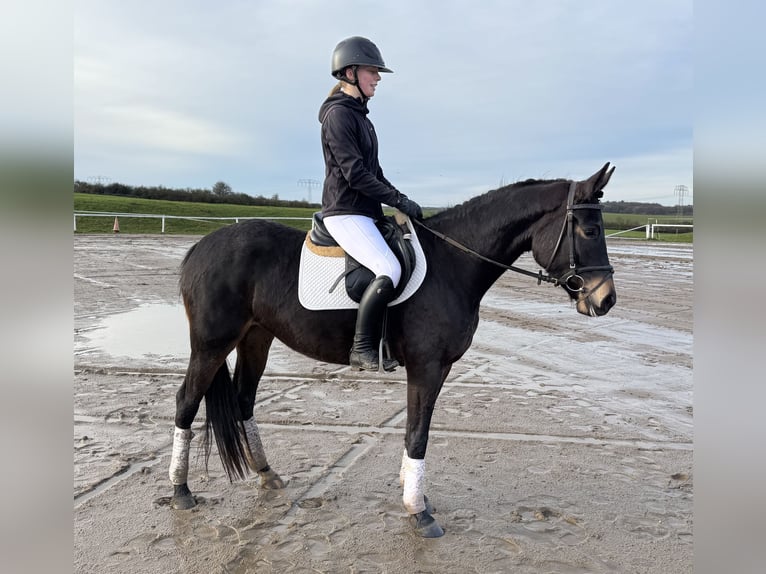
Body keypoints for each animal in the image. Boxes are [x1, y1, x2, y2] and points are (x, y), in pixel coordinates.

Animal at [166, 162, 616, 540]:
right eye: (590, 231)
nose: (606, 299)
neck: (452, 264)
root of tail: (200, 248)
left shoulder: (437, 369)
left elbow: (414, 428)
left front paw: (413, 493)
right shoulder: (427, 366)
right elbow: (418, 434)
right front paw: (419, 511)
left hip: (257, 337)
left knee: (244, 400)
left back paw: (265, 472)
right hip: (211, 343)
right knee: (187, 400)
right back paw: (181, 490)